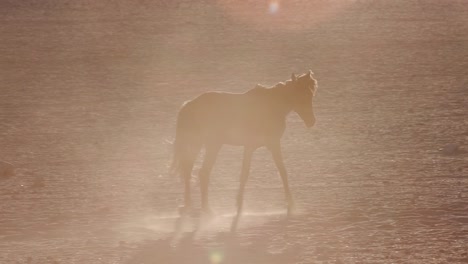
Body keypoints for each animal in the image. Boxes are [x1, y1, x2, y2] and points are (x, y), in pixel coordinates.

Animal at [169, 70, 318, 229]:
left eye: (311, 94)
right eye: (301, 94)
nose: (311, 121)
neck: (271, 106)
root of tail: (189, 105)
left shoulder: (255, 146)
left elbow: (256, 172)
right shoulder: (269, 144)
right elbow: (273, 172)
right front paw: (291, 204)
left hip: (199, 144)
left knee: (189, 171)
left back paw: (188, 206)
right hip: (211, 144)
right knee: (202, 173)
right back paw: (207, 210)